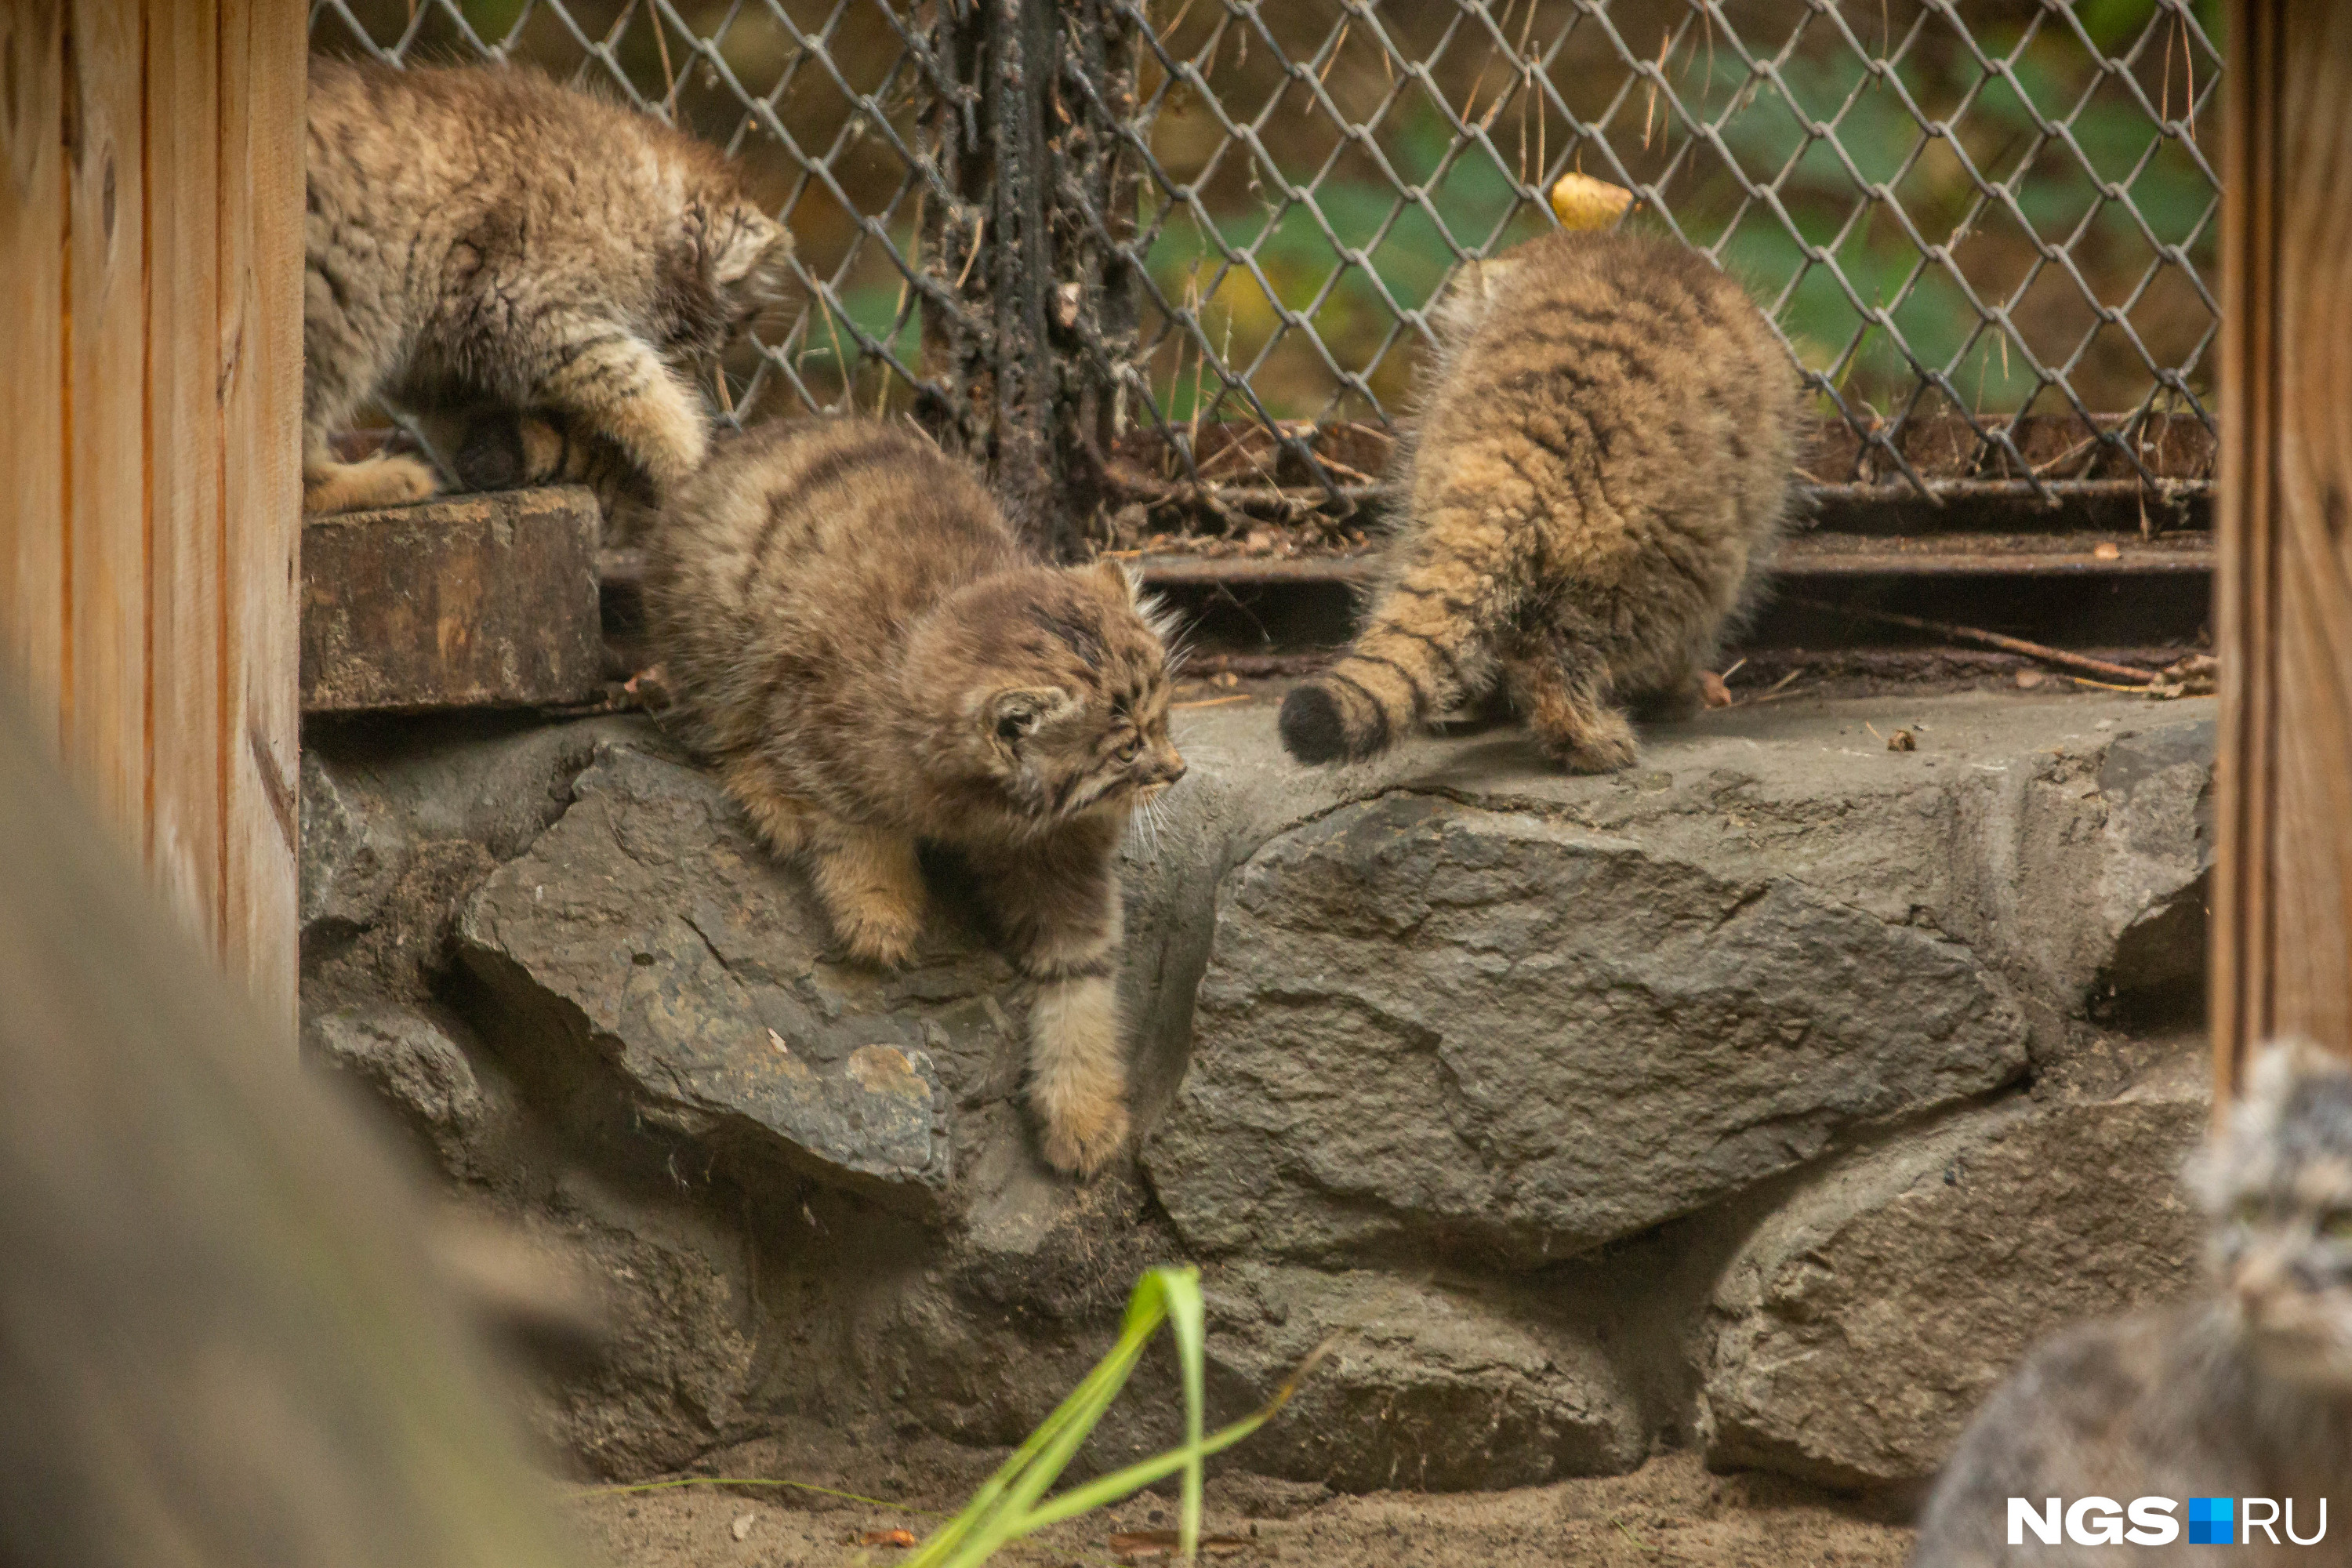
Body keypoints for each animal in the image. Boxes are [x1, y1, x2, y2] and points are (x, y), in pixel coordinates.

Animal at [299, 60, 781, 514]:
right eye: (714, 342)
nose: (702, 373)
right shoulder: (524, 305)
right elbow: (640, 387)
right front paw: (690, 460)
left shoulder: (439, 347)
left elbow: (454, 412)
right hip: (335, 318)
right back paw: (379, 480)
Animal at [644, 416, 1185, 1175]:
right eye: (1129, 748)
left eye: (1163, 719)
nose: (1179, 769)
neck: (986, 808)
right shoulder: (812, 717)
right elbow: (855, 821)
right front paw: (879, 908)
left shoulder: (1065, 858)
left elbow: (1082, 979)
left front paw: (1083, 1111)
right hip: (716, 629)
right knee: (720, 727)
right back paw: (766, 794)